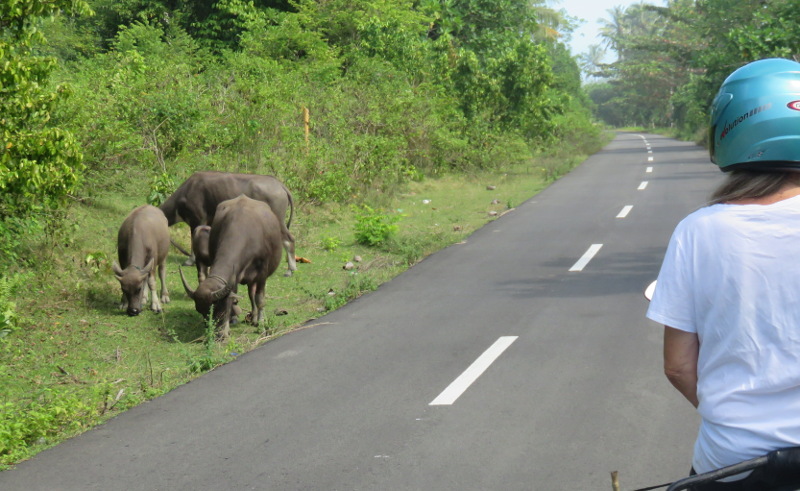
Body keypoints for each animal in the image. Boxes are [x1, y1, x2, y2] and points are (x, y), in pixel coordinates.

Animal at [160, 171, 296, 274]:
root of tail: (280, 186)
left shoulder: (198, 221)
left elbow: (194, 240)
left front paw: (190, 261)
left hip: (279, 220)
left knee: (289, 239)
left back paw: (290, 269)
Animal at [180, 194, 282, 340]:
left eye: (216, 309)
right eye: (199, 310)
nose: (211, 332)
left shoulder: (262, 274)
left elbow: (260, 299)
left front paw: (262, 326)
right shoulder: (233, 278)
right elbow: (231, 300)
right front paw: (226, 329)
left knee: (253, 295)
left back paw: (256, 319)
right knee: (250, 294)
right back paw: (251, 317)